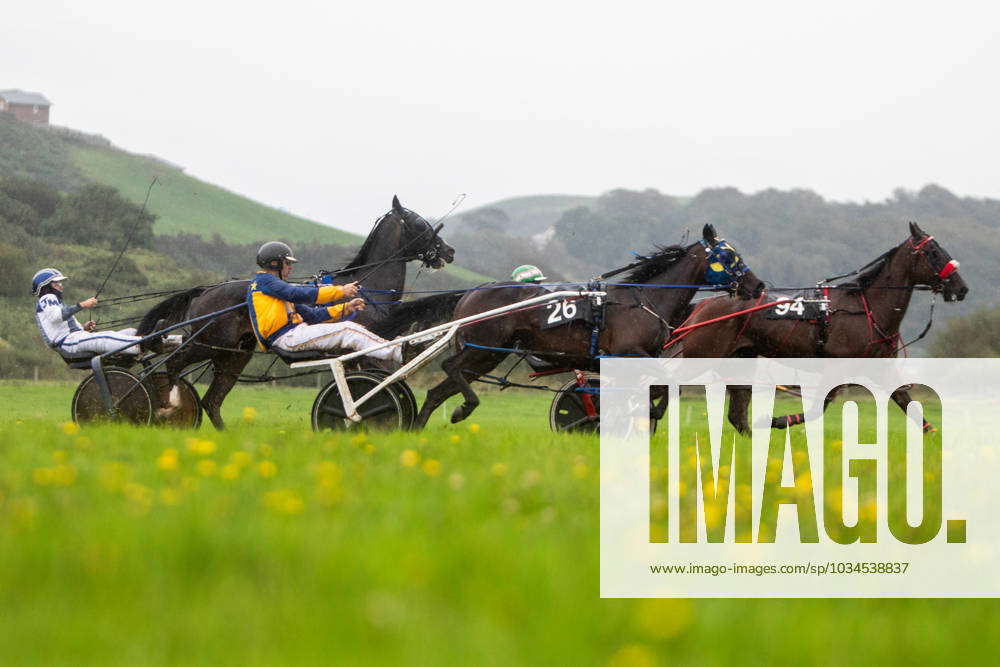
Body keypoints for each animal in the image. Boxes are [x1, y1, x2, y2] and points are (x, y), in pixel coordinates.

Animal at [138, 196, 458, 430]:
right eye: (420, 223)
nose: (449, 251)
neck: (368, 287)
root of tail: (205, 290)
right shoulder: (363, 351)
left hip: (233, 355)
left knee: (212, 401)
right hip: (209, 343)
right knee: (173, 364)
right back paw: (168, 404)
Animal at [414, 227, 764, 430]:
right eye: (729, 255)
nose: (757, 285)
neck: (644, 298)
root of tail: (472, 292)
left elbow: (656, 388)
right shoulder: (627, 354)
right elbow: (663, 384)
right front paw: (642, 415)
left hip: (486, 355)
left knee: (435, 392)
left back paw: (415, 428)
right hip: (483, 349)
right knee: (450, 368)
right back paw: (462, 409)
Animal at [676, 222, 964, 436]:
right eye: (933, 252)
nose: (961, 288)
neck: (868, 309)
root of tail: (704, 304)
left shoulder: (881, 366)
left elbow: (909, 404)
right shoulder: (837, 365)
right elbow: (819, 407)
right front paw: (776, 421)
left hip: (740, 358)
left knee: (736, 414)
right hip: (702, 355)